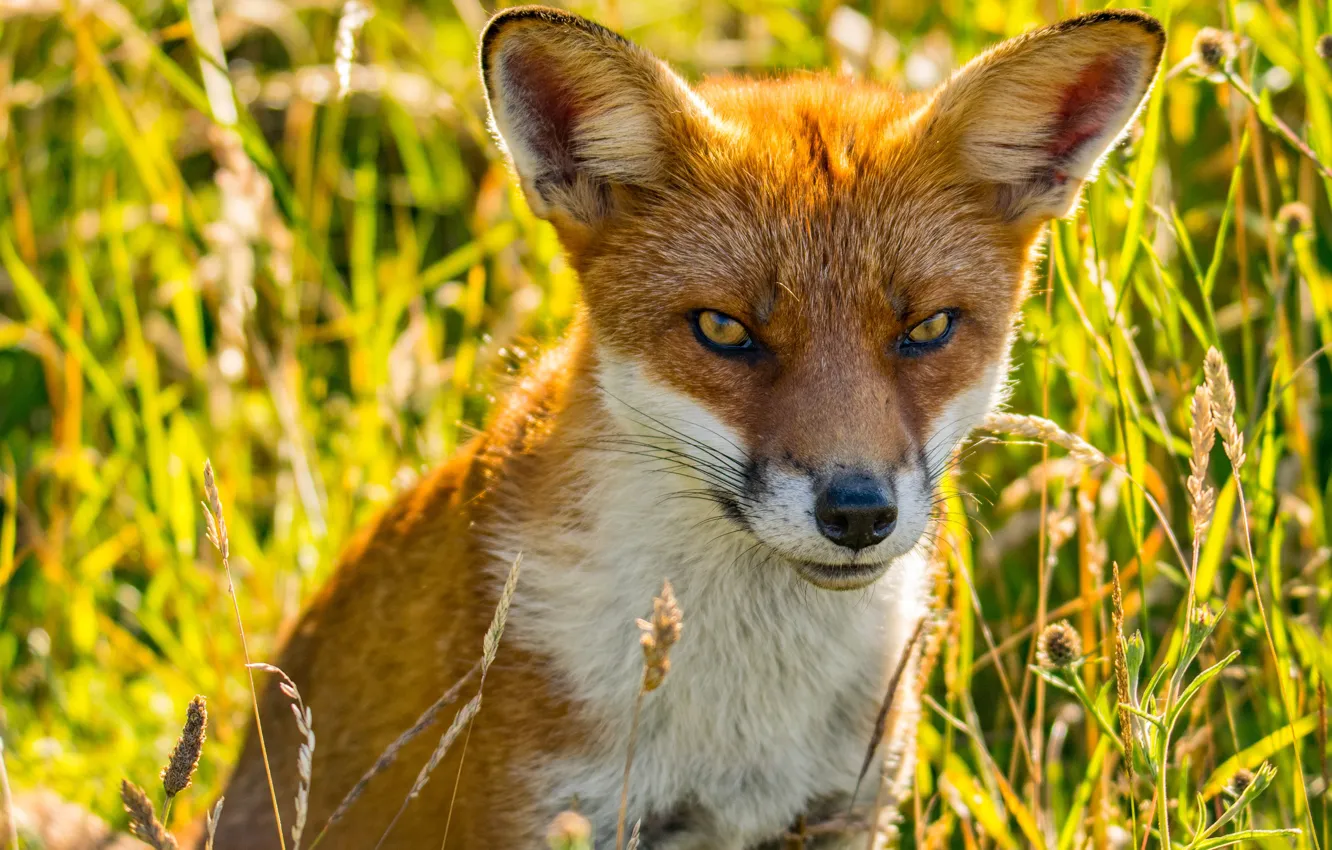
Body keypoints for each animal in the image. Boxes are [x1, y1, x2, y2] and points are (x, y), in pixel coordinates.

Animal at [192, 6, 1166, 849]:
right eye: (724, 330)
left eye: (927, 328)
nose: (857, 514)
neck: (744, 720)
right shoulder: (550, 811)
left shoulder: (843, 809)